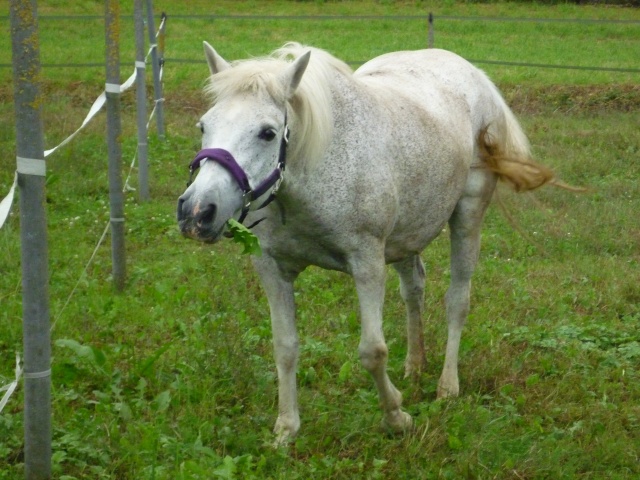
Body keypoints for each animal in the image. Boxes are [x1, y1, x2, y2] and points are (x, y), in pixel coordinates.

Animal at [178, 41, 556, 442]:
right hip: (407, 237)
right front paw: (286, 429)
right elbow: (285, 347)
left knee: (457, 301)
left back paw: (447, 386)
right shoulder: (272, 268)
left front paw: (397, 416)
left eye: (267, 132)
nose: (197, 211)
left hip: (467, 218)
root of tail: (473, 74)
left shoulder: (367, 263)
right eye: (204, 125)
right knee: (414, 290)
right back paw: (415, 365)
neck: (317, 167)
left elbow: (372, 351)